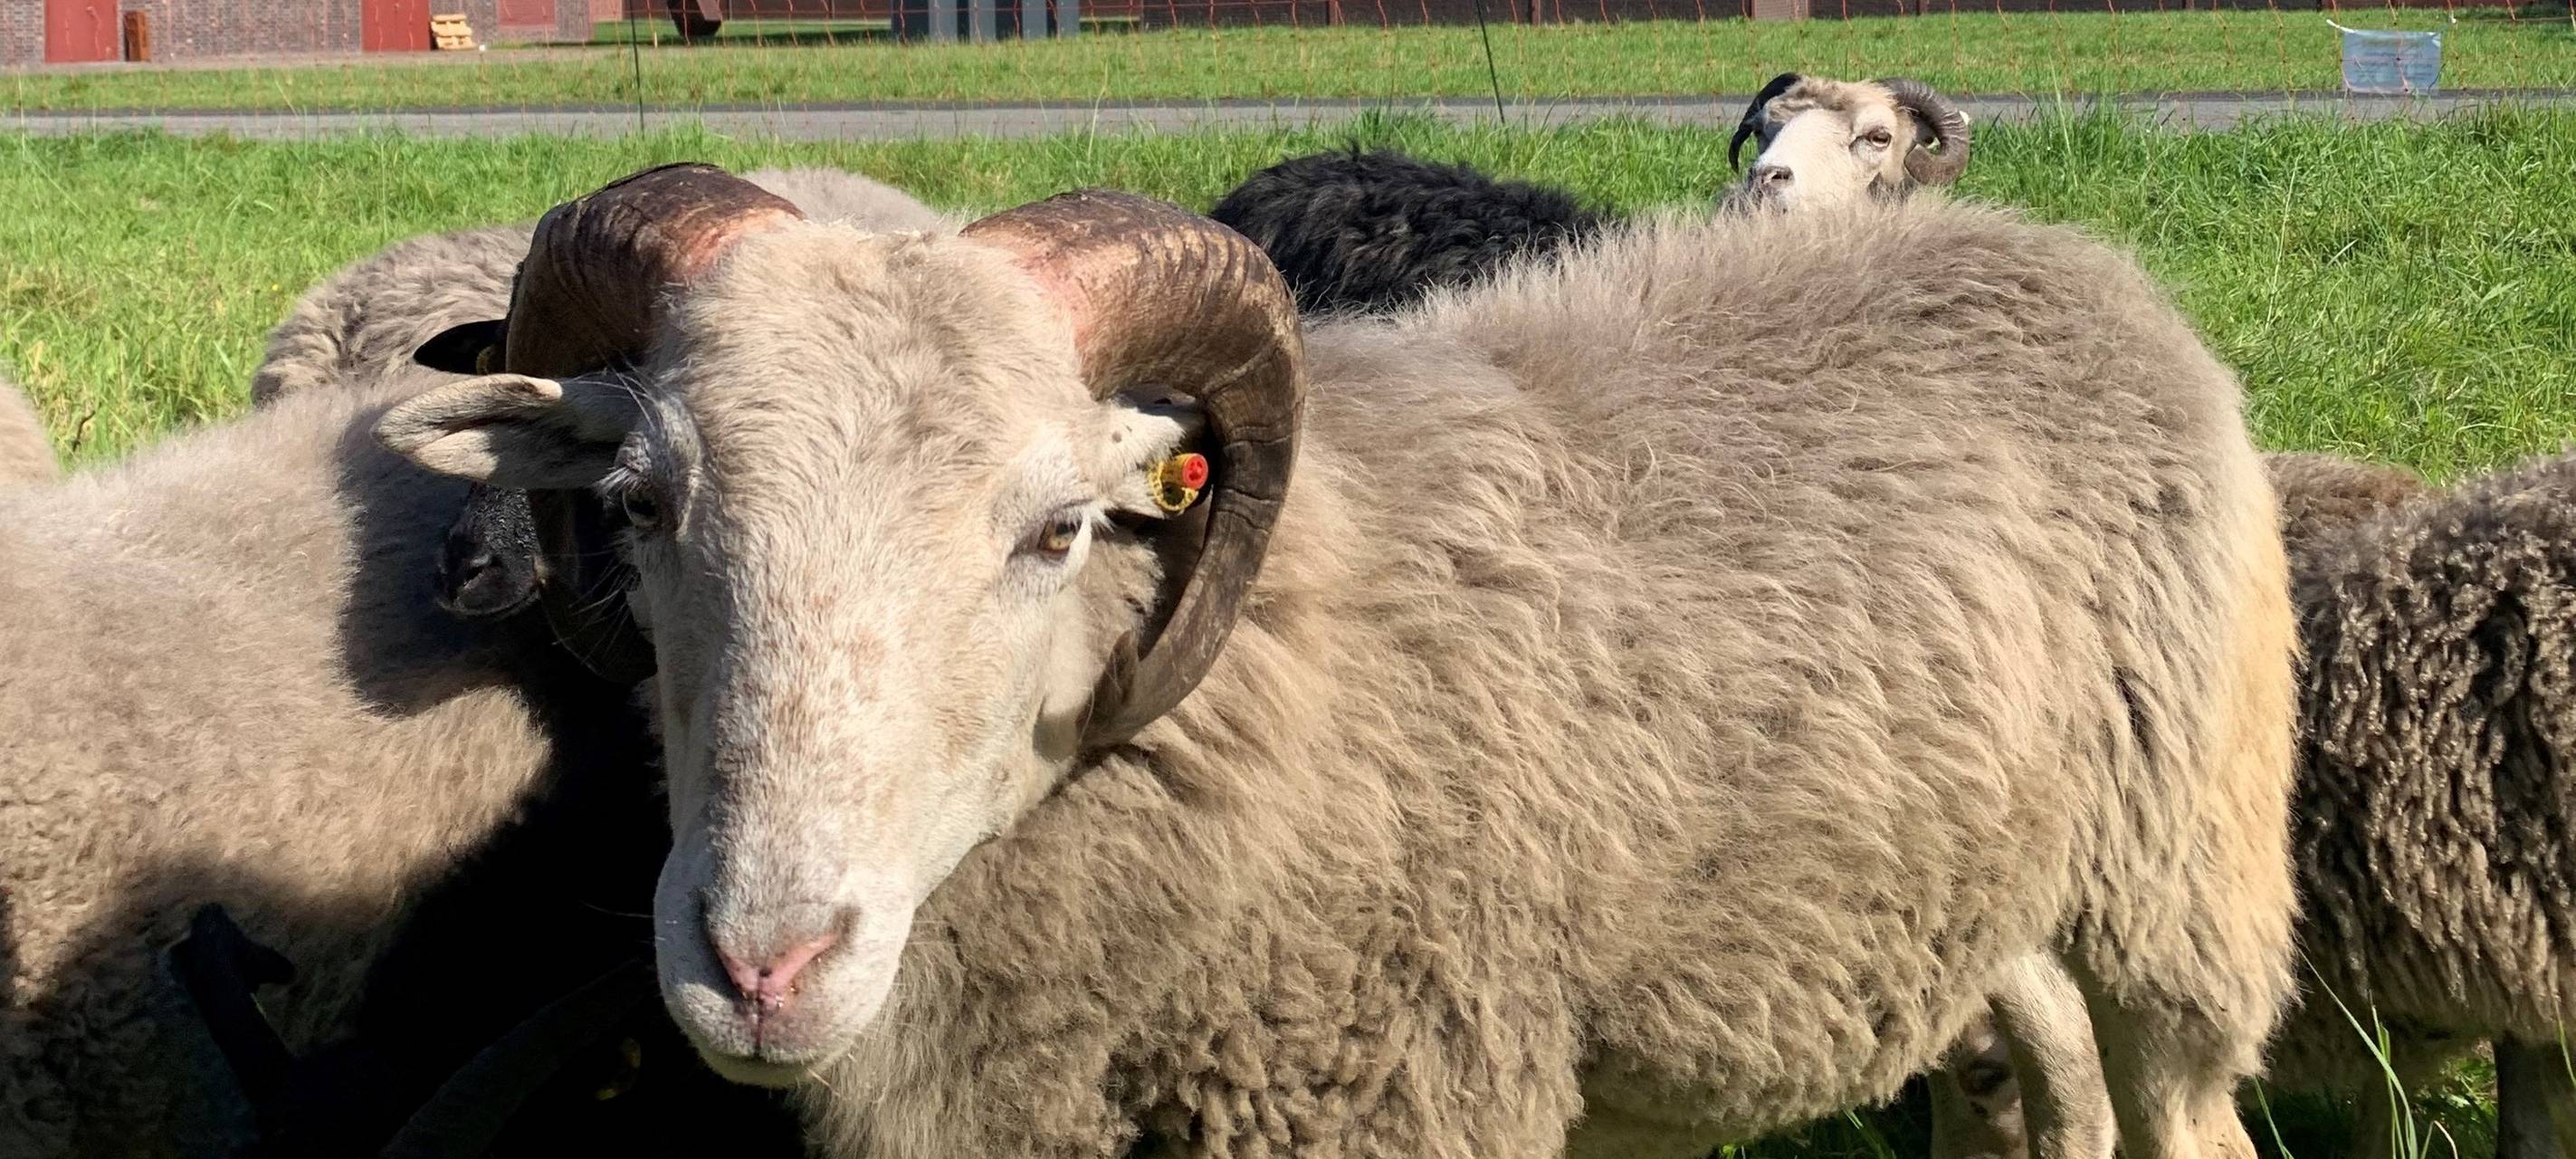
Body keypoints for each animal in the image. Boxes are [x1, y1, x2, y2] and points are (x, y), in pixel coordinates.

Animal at [378, 162, 2299, 1159]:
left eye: (1057, 530)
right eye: (637, 502)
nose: (762, 969)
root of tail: (2056, 245)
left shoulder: (1396, 1099)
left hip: (2178, 878)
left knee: (2179, 1100)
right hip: (1975, 875)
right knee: (2049, 1069)